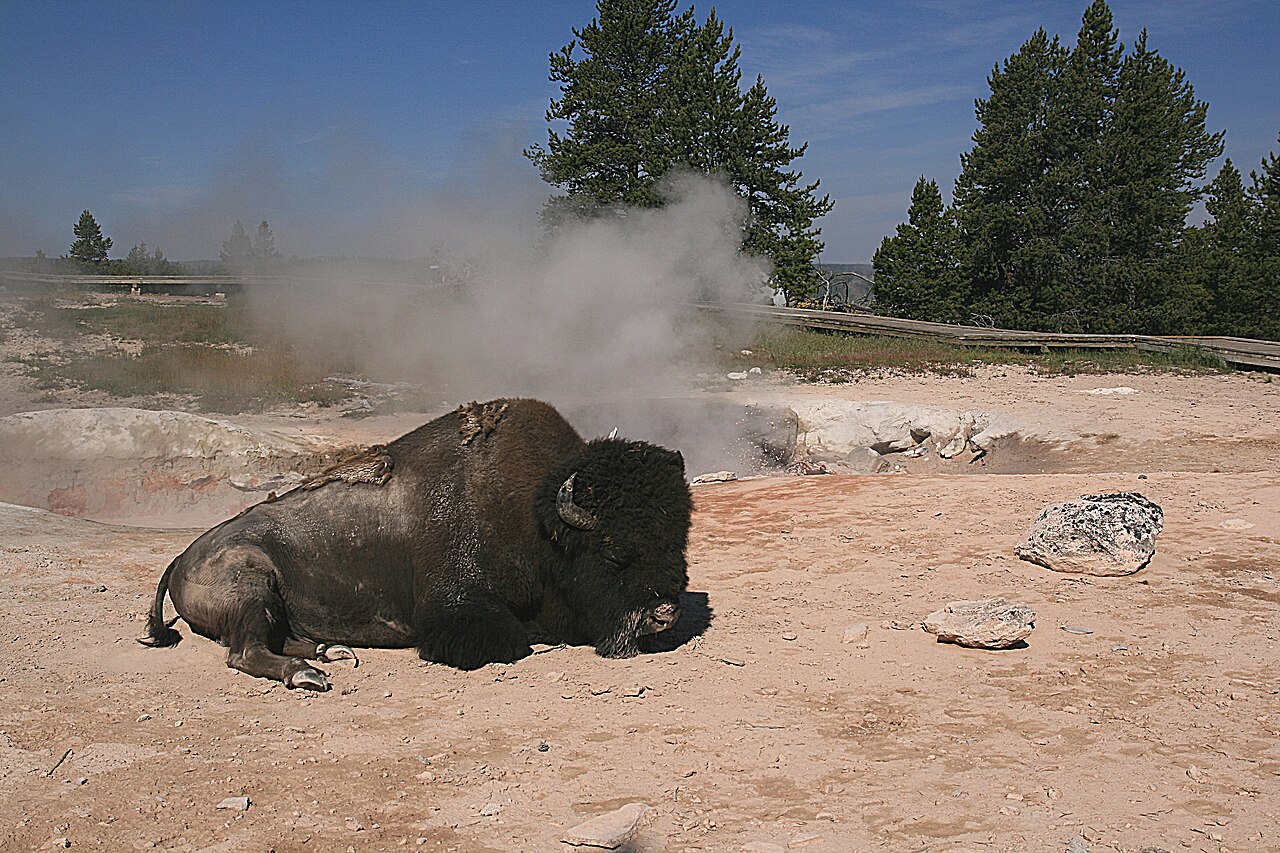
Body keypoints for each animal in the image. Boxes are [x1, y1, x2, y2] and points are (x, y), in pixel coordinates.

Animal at [141, 399, 692, 690]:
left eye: (679, 541)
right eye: (613, 552)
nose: (664, 615)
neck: (538, 521)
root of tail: (183, 556)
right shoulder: (459, 611)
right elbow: (509, 640)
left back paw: (330, 651)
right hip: (252, 583)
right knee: (245, 650)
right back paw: (307, 674)